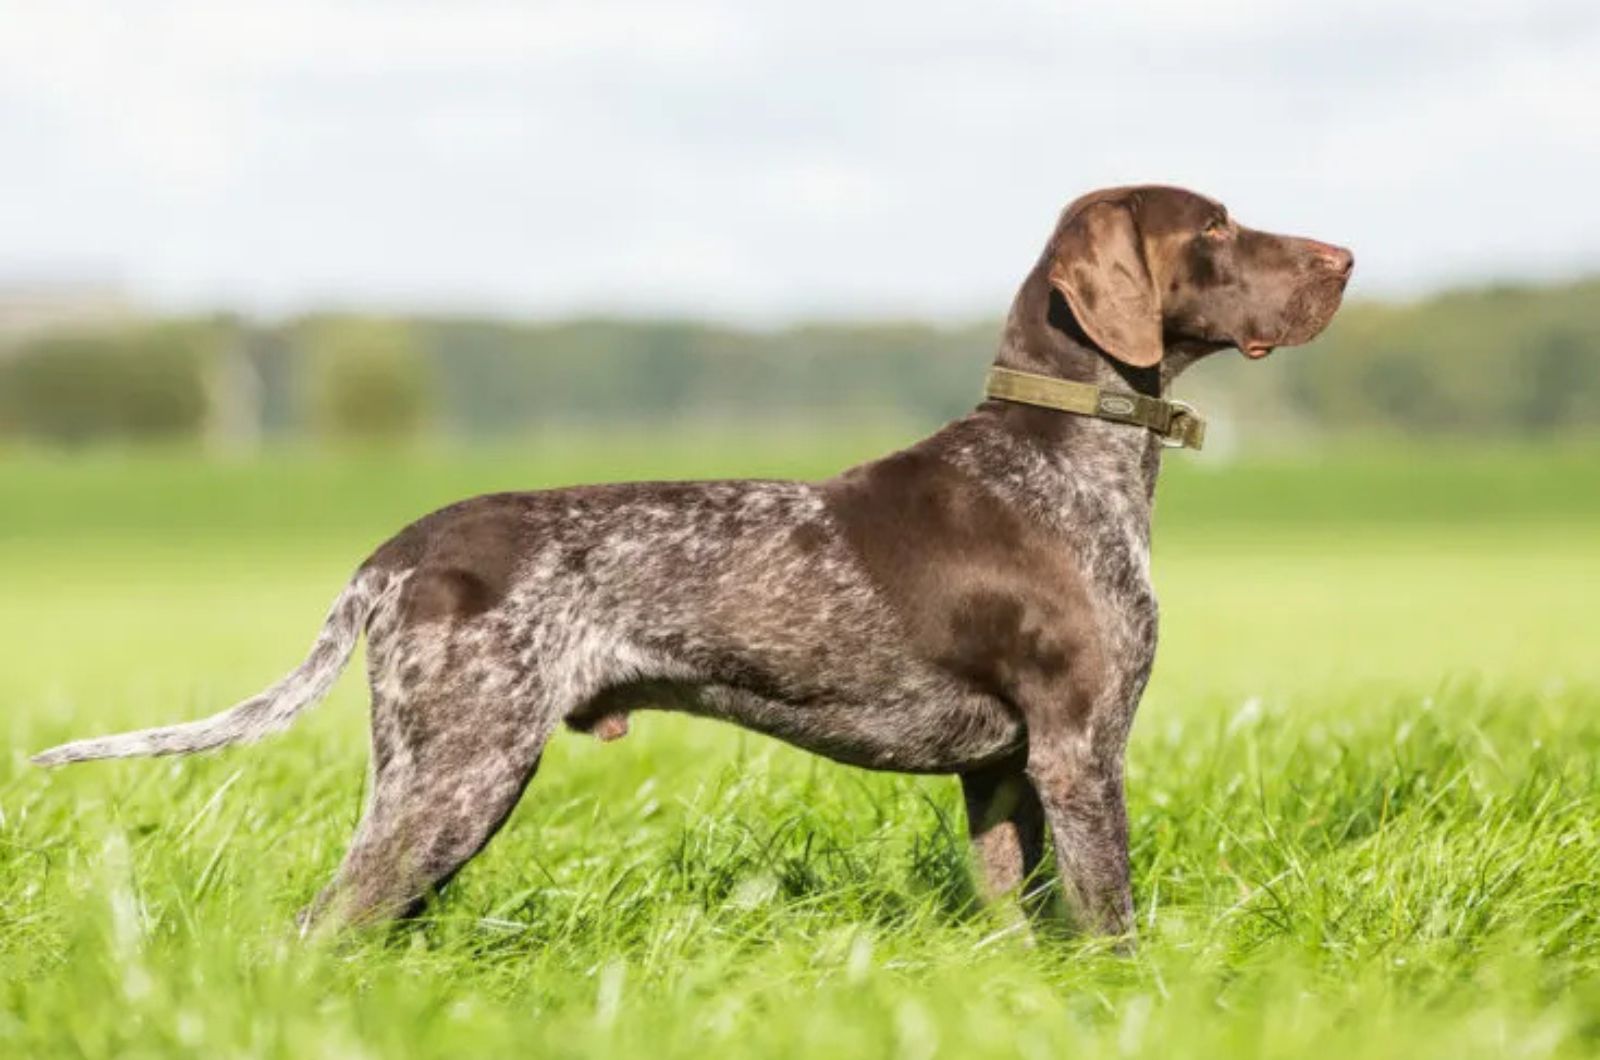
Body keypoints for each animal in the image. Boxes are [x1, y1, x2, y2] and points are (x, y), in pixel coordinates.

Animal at [31, 186, 1350, 941]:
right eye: (1214, 228)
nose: (1343, 256)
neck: (1064, 455)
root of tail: (400, 549)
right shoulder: (1081, 751)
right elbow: (1112, 920)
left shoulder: (1002, 772)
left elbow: (1017, 924)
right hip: (458, 775)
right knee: (322, 927)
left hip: (433, 780)